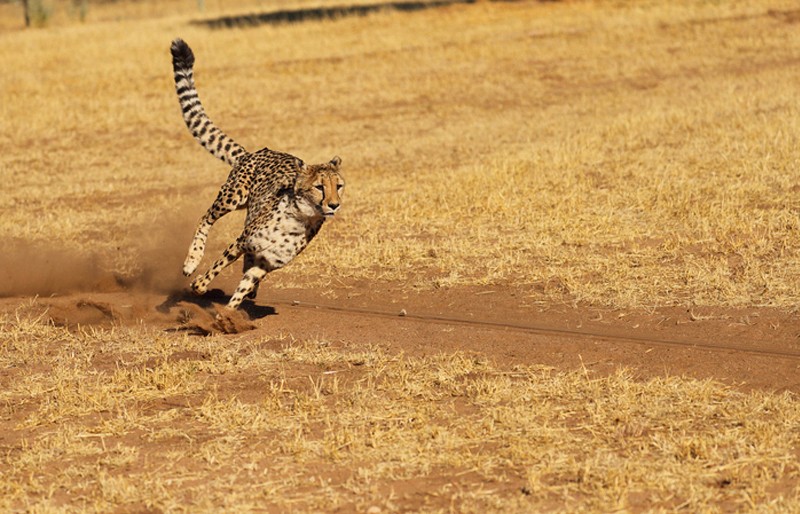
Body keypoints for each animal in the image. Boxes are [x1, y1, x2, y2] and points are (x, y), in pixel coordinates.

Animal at [170, 38, 344, 310]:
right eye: (319, 187)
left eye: (339, 186)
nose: (334, 204)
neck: (301, 218)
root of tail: (254, 152)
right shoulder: (243, 240)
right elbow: (218, 266)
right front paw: (199, 285)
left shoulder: (265, 264)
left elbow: (242, 288)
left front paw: (228, 315)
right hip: (232, 197)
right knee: (205, 218)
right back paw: (192, 261)